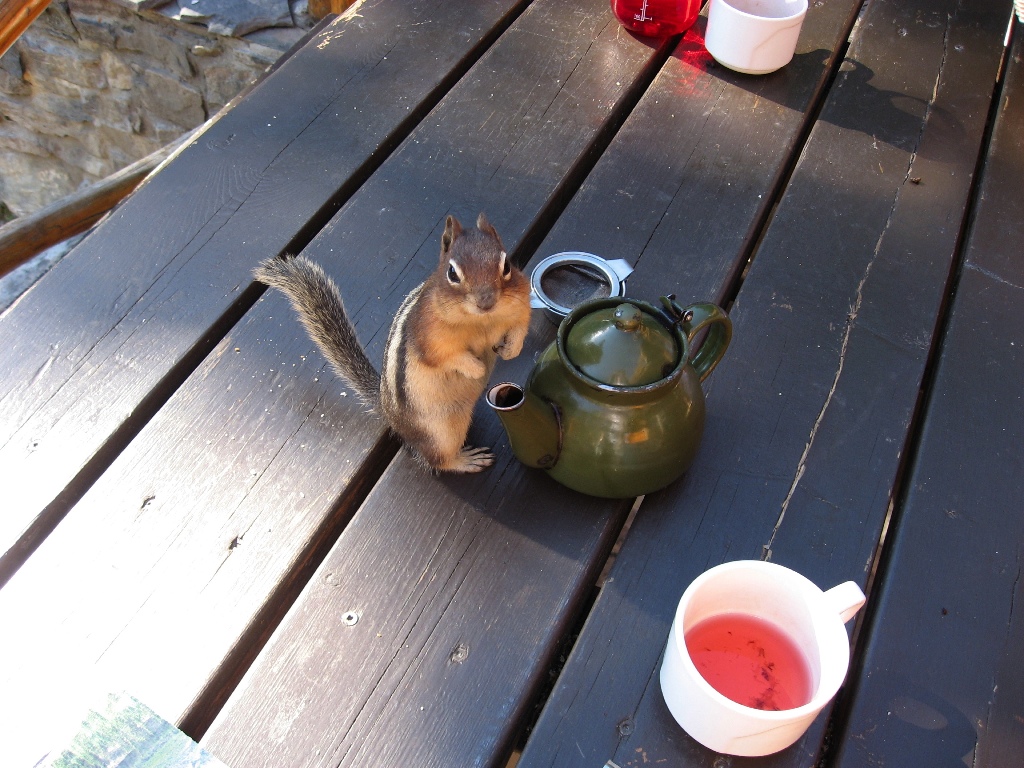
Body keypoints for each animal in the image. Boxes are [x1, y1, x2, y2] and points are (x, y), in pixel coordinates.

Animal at [254, 214, 532, 473]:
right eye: (452, 273)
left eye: (506, 265)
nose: (486, 301)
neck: (481, 320)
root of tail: (389, 414)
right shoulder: (428, 335)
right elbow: (443, 356)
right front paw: (477, 368)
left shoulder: (520, 303)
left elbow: (520, 326)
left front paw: (511, 349)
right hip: (441, 432)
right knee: (437, 460)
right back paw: (465, 460)